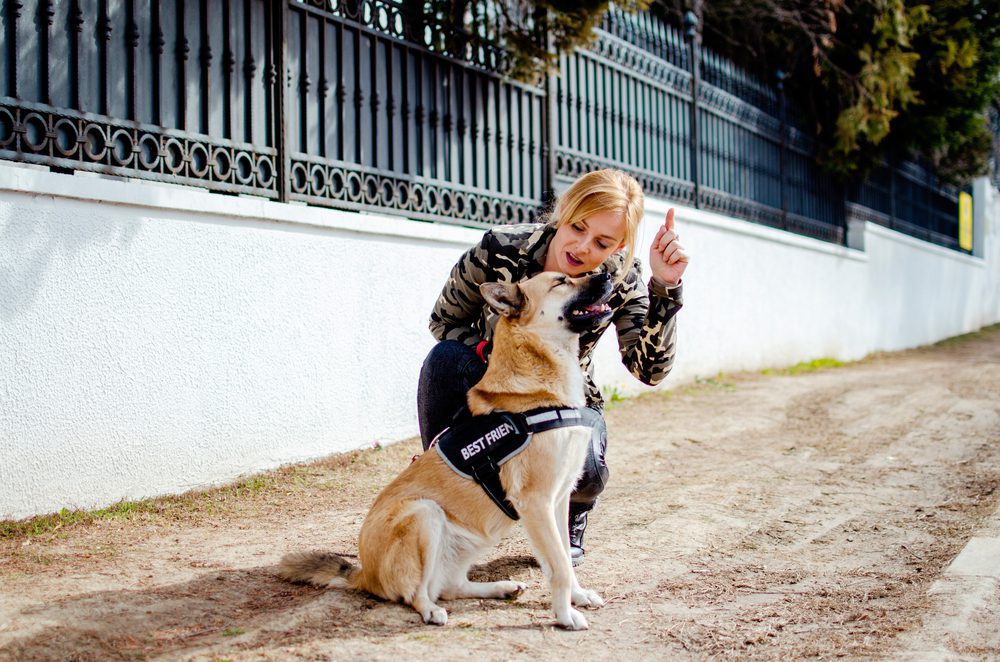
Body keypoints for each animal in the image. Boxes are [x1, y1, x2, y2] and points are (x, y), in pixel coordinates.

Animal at [278, 272, 612, 632]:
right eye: (561, 282)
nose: (608, 274)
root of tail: (364, 574)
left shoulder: (559, 500)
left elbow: (563, 556)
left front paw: (577, 597)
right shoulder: (536, 503)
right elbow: (560, 566)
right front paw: (565, 615)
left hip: (470, 539)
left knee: (450, 586)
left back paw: (501, 588)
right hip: (425, 513)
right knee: (417, 593)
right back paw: (430, 611)